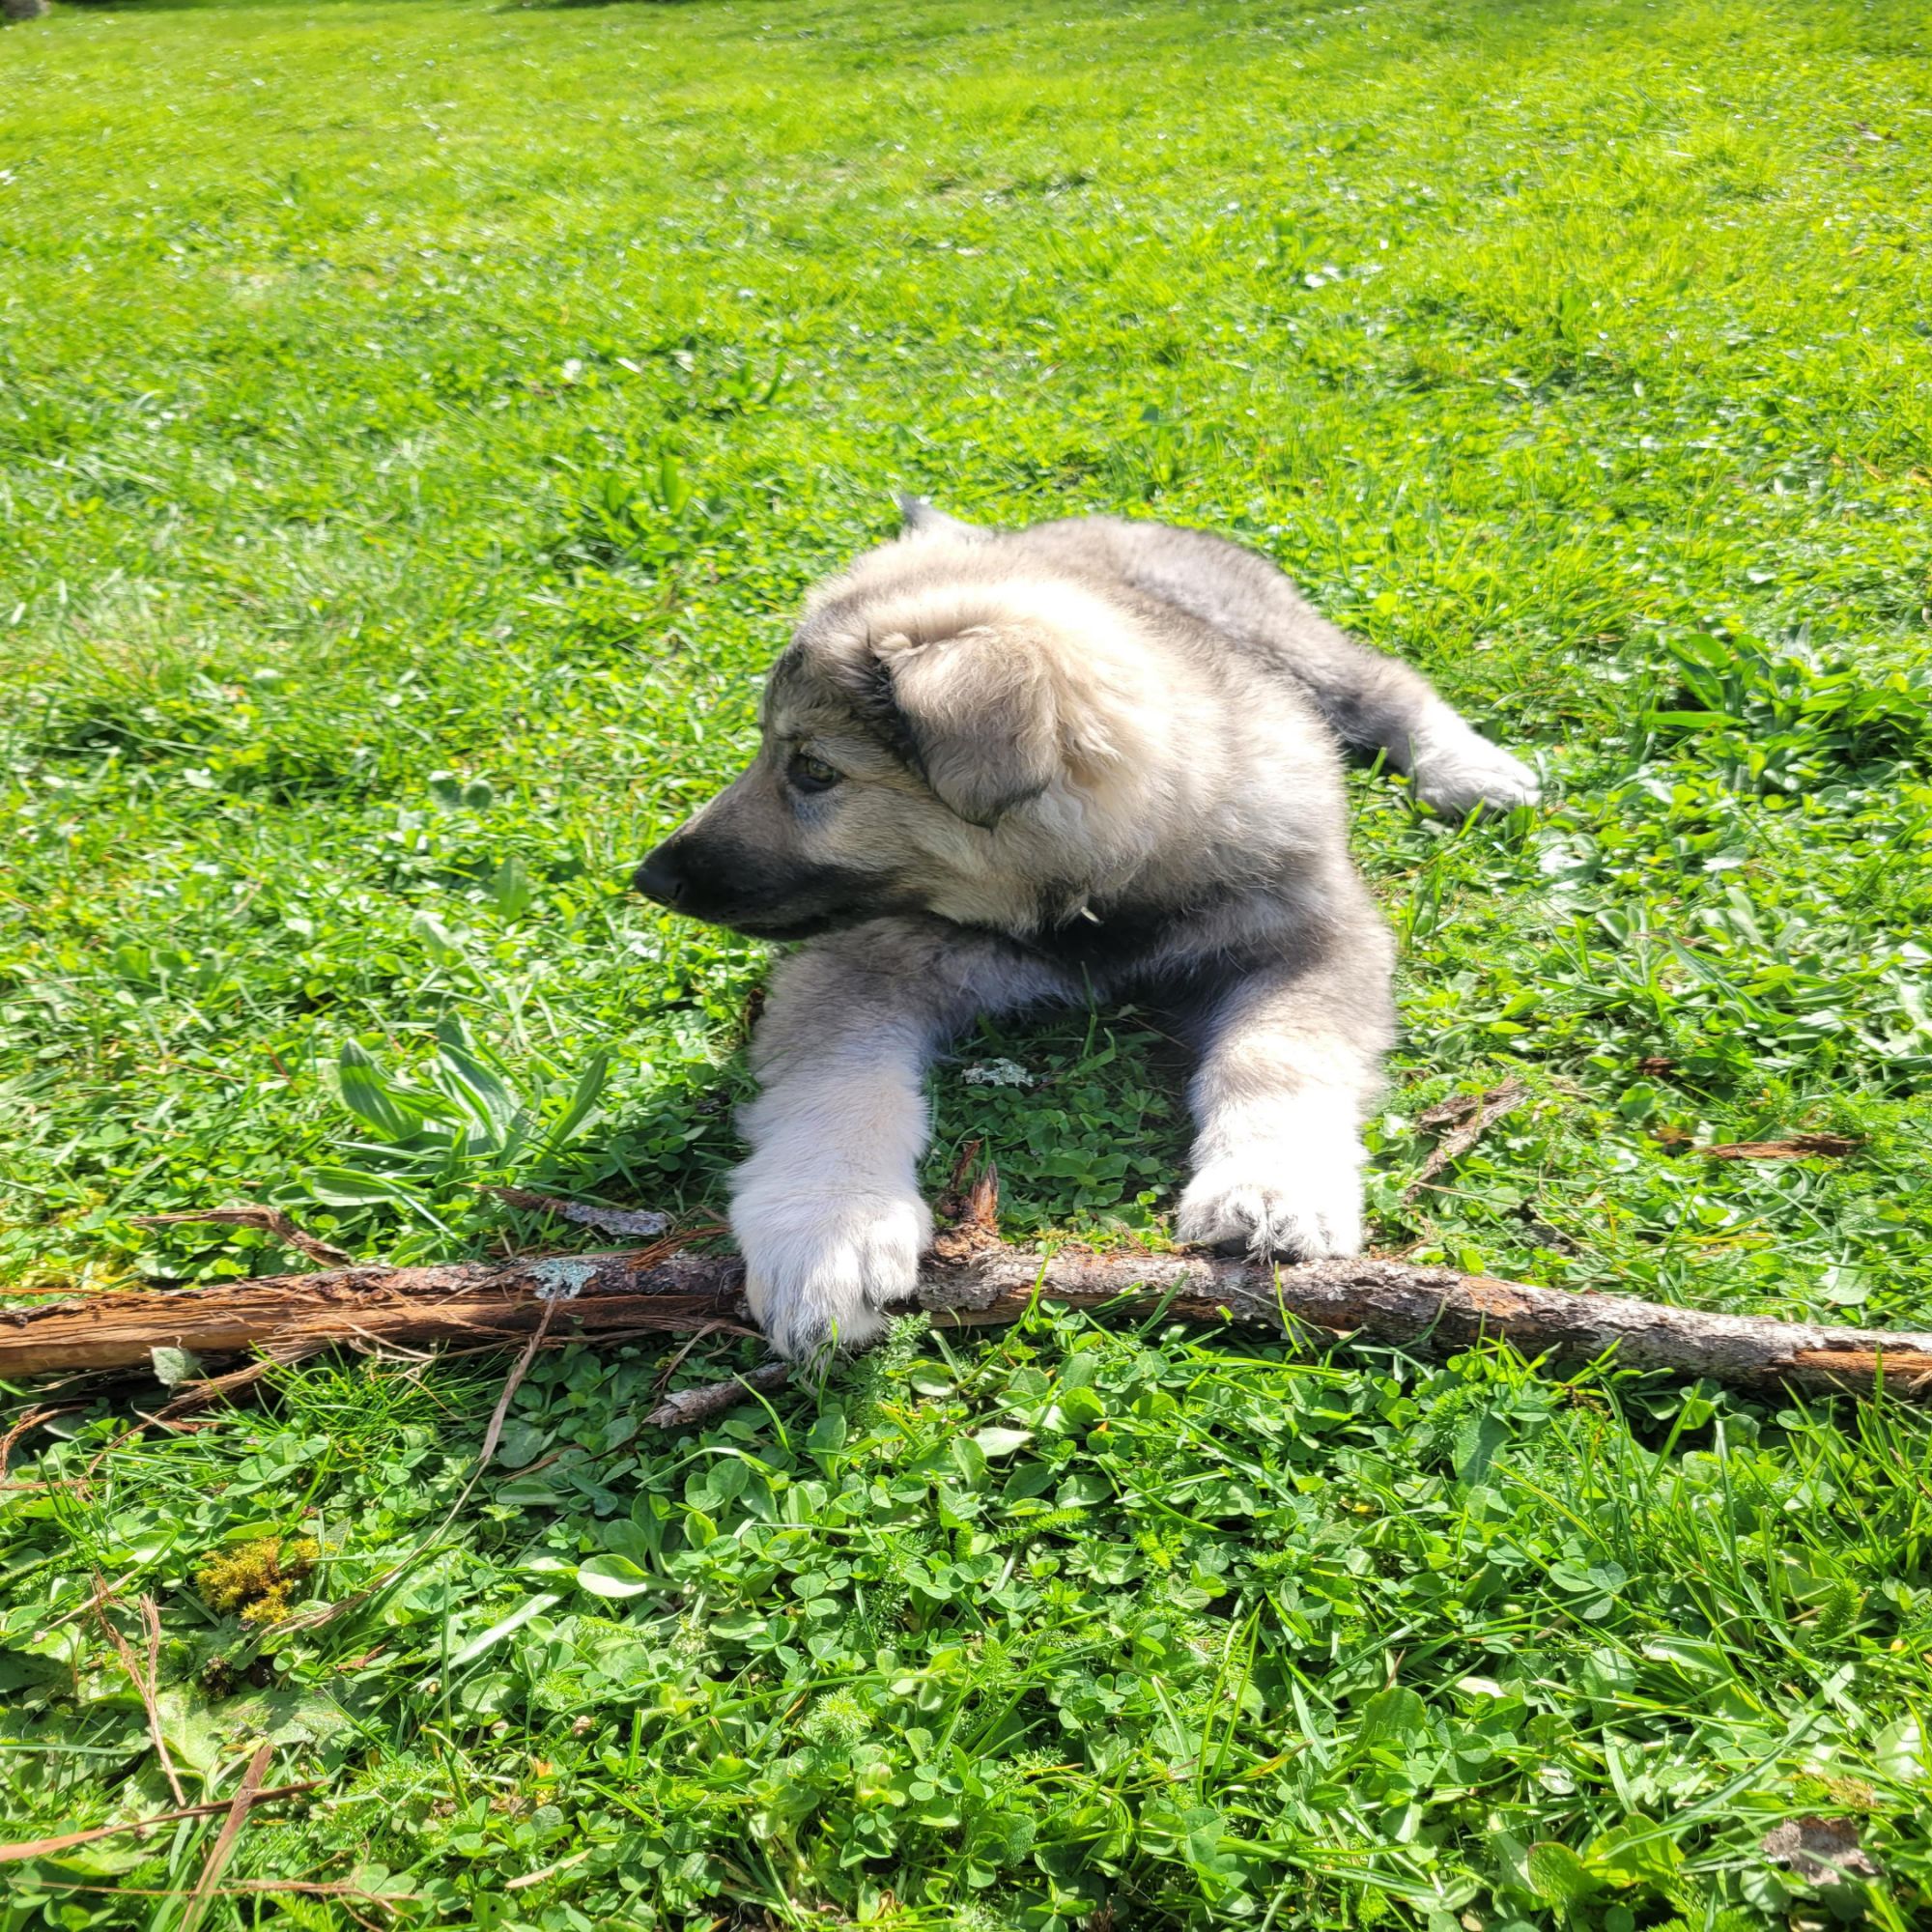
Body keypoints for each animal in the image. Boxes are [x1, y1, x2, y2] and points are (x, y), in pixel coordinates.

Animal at [634, 502, 1538, 1359]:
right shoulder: (858, 961)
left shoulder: (1311, 936)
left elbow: (1275, 1053)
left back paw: (1470, 767)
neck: (1089, 904)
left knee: (1386, 682)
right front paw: (828, 1228)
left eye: (815, 770)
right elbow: (837, 1088)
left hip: (1286, 637)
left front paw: (1271, 1186)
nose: (651, 879)